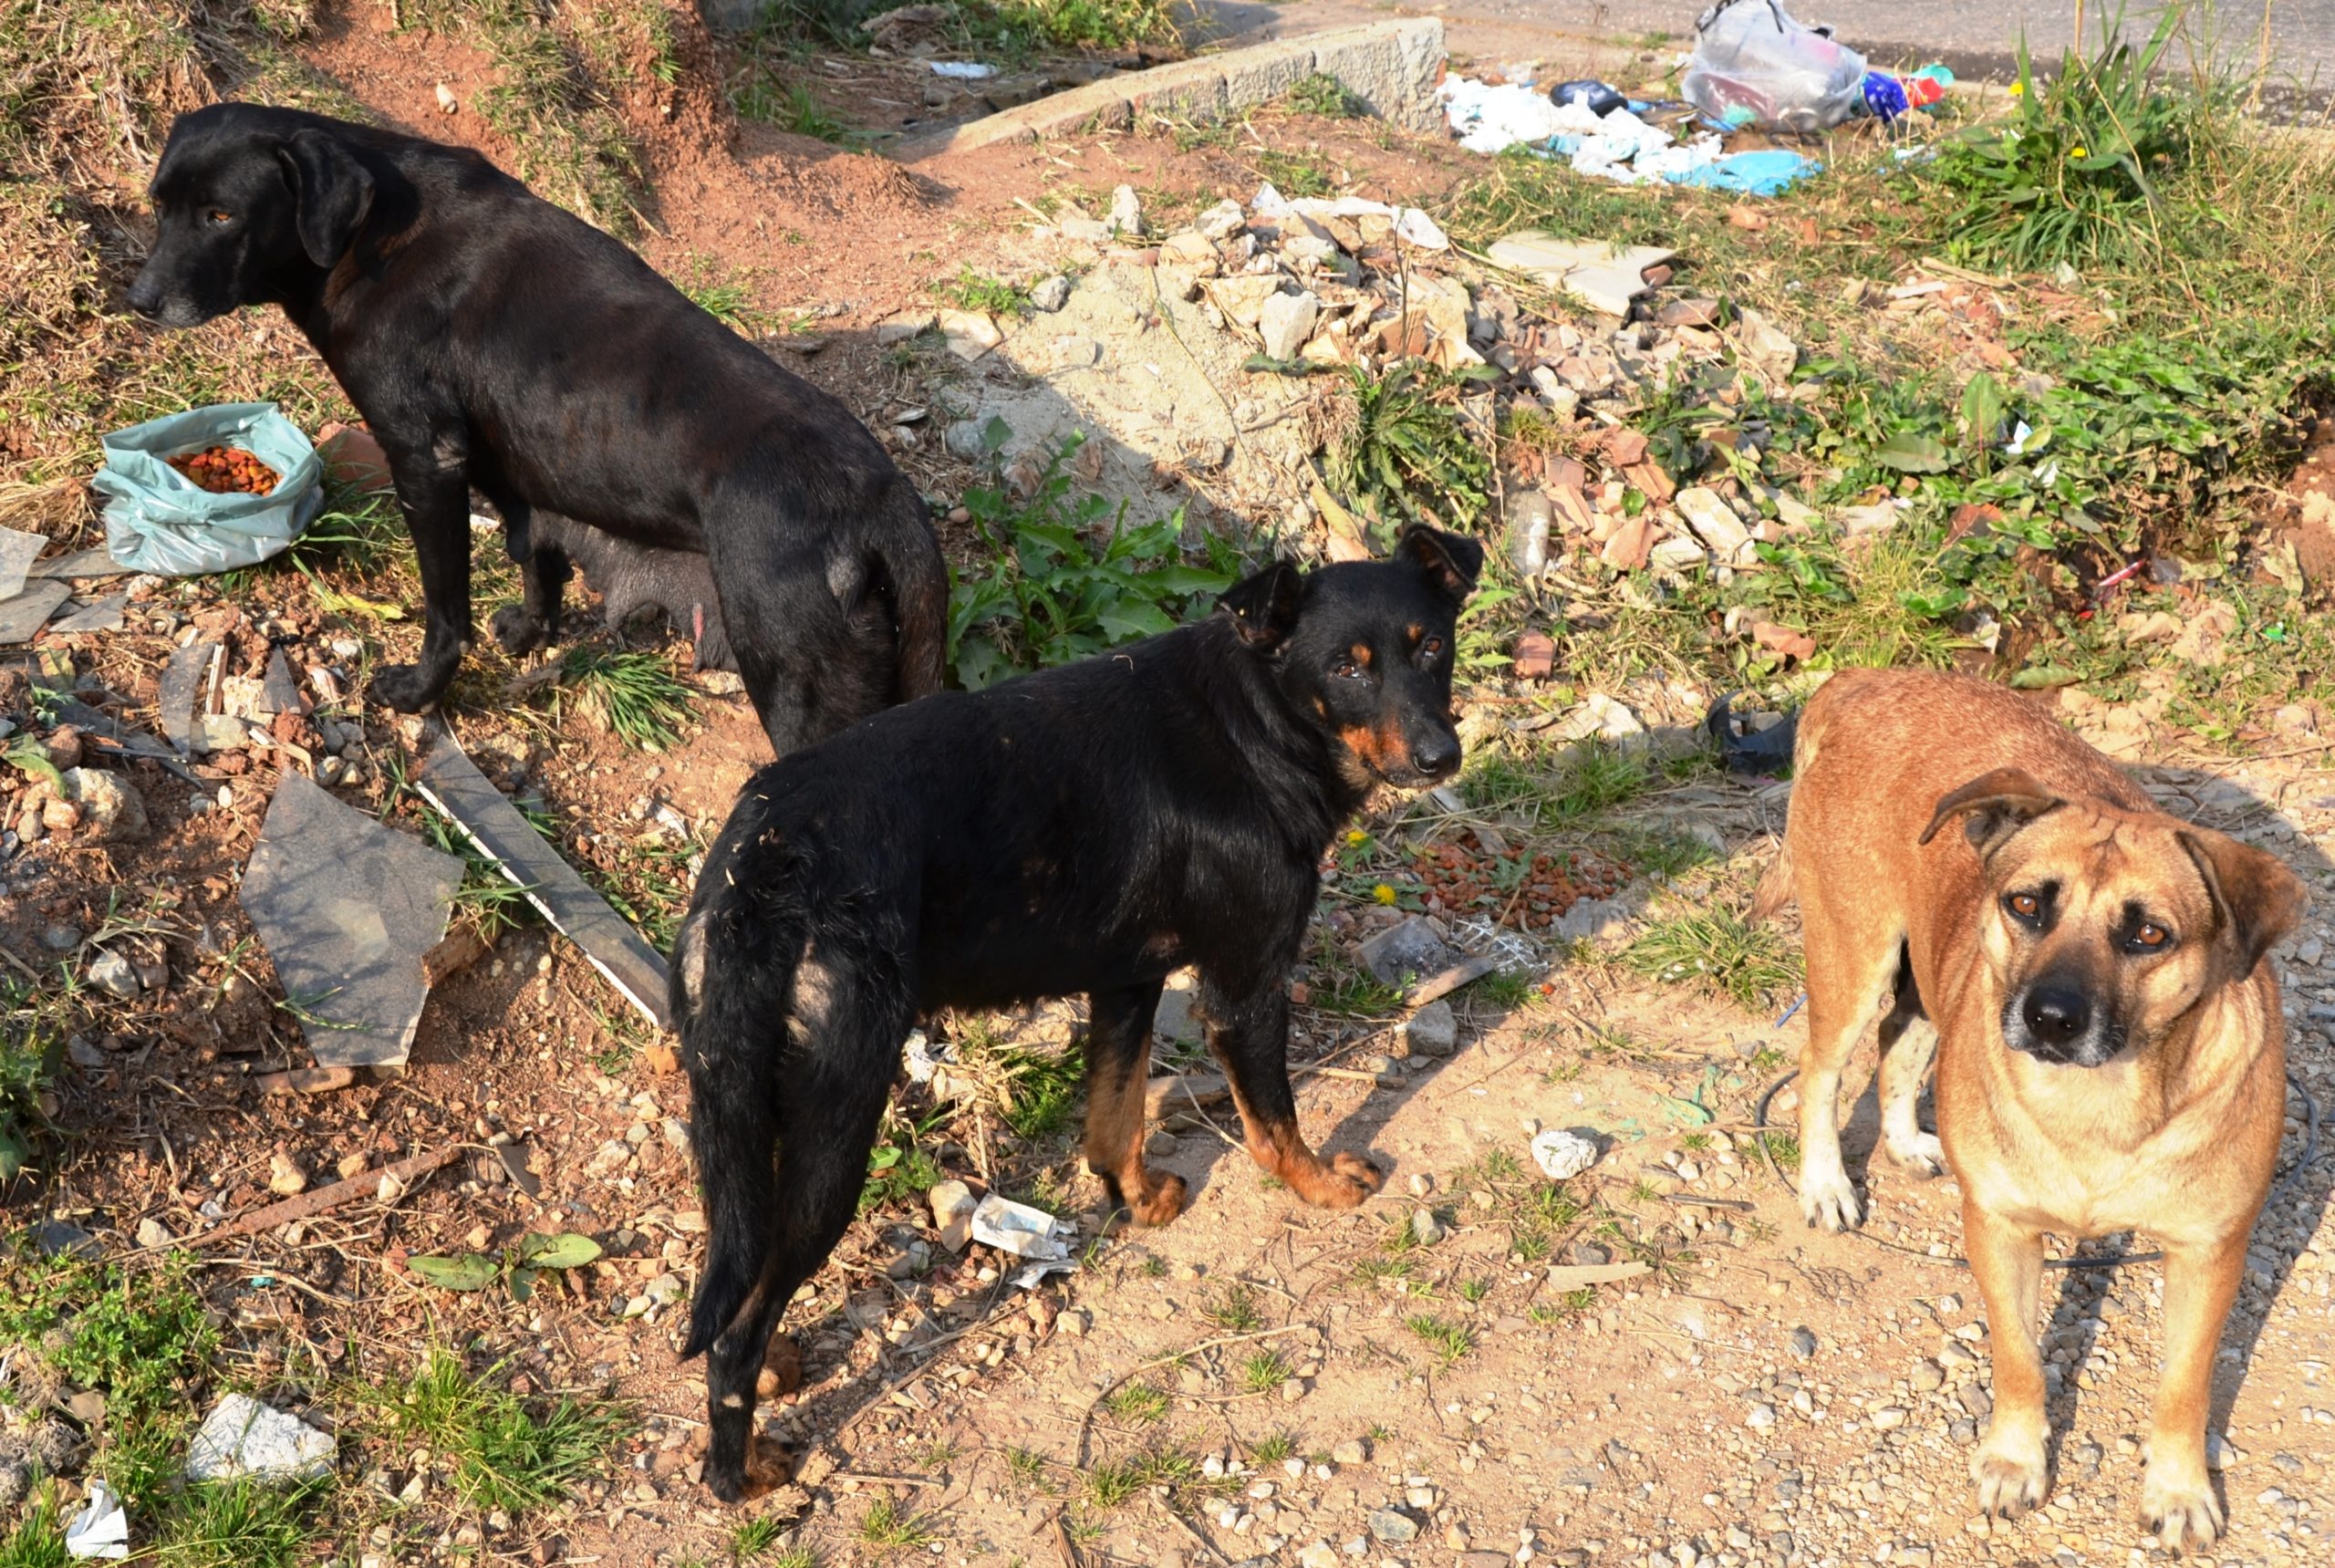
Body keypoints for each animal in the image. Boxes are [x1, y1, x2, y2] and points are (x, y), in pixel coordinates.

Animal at [127, 103, 943, 756]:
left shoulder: (426, 459)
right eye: (159, 206)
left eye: (222, 215)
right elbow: (537, 557)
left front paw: (422, 691)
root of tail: (886, 502)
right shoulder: (515, 474)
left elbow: (445, 606)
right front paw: (531, 631)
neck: (368, 235)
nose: (138, 300)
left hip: (799, 682)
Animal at [671, 526, 1483, 1500]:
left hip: (738, 1115)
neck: (1257, 724)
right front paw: (1321, 1184)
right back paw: (738, 1472)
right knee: (733, 1332)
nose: (1441, 756)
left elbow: (1114, 1115)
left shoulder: (1127, 981)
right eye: (1347, 668)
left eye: (1430, 647)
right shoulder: (1245, 986)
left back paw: (772, 1369)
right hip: (837, 1121)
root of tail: (762, 868)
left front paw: (1136, 1197)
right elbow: (1274, 1123)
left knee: (736, 1278)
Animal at [1761, 668, 2302, 1549]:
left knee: (1901, 1043)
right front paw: (2015, 1461)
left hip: (1930, 973)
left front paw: (2180, 1488)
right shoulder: (2003, 1229)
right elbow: (2017, 1356)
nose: (2049, 1017)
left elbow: (2185, 1385)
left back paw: (1909, 1140)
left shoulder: (2208, 1252)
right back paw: (1825, 1185)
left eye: (2150, 934)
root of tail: (1866, 678)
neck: (2097, 1104)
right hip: (1855, 951)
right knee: (1822, 1067)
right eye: (2025, 904)